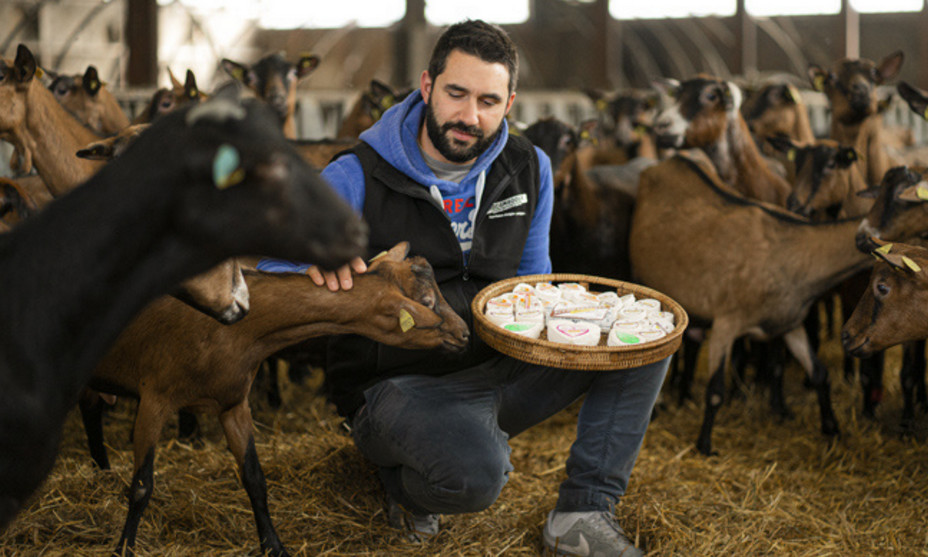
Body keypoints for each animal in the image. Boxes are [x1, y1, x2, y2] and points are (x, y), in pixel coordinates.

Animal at [84, 242, 468, 556]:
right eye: (428, 303)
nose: (465, 333)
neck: (232, 329)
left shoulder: (234, 404)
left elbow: (255, 480)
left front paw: (274, 546)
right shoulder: (155, 399)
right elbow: (142, 487)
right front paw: (123, 549)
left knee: (91, 410)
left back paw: (102, 471)